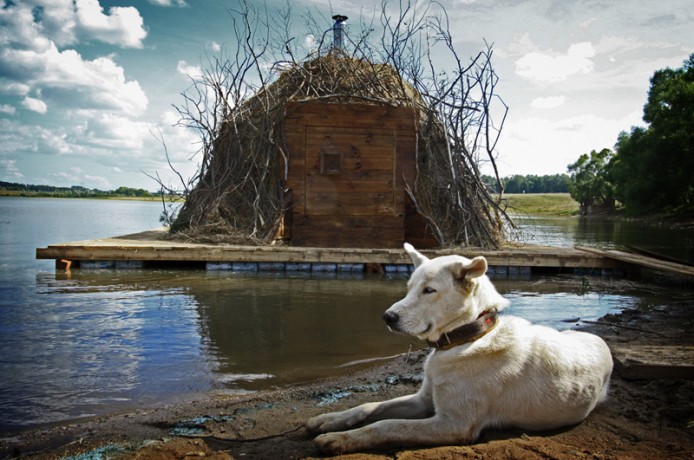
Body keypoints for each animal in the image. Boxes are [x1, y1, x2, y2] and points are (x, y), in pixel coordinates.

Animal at [306, 244, 616, 452]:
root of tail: (600, 340)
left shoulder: (453, 423)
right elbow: (369, 407)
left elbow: (387, 424)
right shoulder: (424, 400)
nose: (387, 317)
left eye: (429, 290)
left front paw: (341, 439)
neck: (466, 338)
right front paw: (328, 420)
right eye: (409, 287)